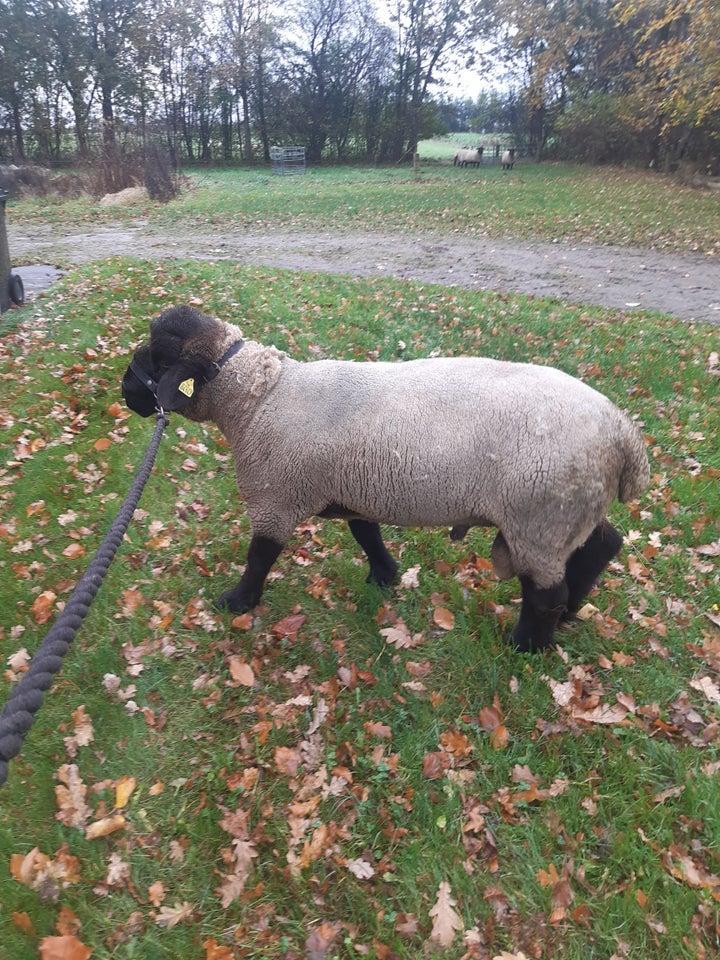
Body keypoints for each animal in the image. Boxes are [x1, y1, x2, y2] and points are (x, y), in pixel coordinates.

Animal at [124, 308, 652, 652]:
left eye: (158, 355)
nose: (126, 389)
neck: (258, 398)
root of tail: (623, 434)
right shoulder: (351, 486)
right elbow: (366, 533)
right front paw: (384, 575)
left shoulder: (275, 496)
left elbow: (260, 557)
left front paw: (237, 602)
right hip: (571, 508)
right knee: (602, 546)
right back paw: (569, 614)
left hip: (539, 517)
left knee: (546, 592)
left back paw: (526, 645)